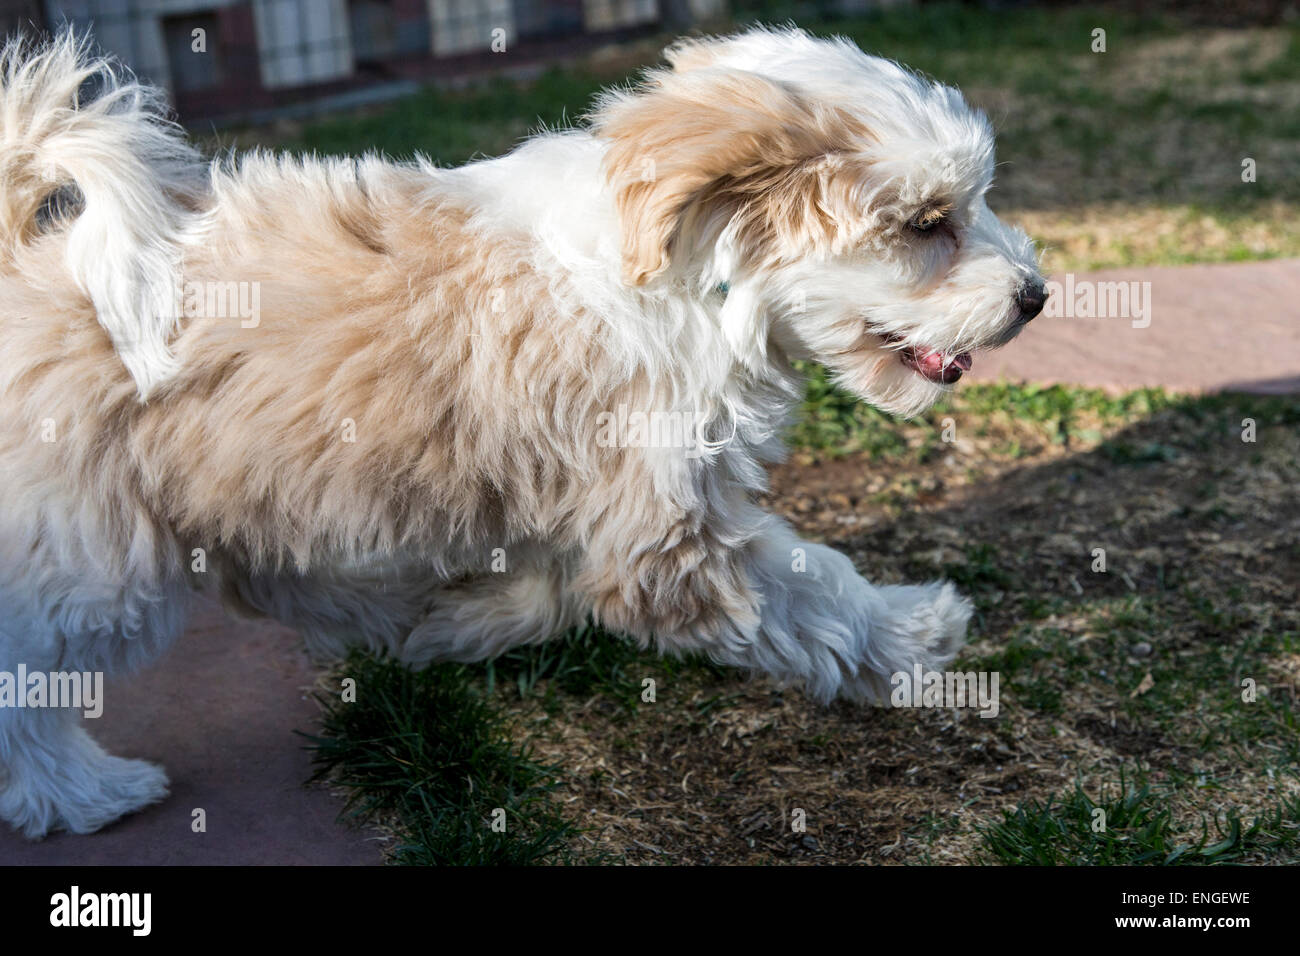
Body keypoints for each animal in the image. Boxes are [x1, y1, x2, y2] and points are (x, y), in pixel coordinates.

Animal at [0, 27, 1040, 837]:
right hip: (89, 562)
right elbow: (812, 591)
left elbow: (547, 590)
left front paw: (461, 622)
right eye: (926, 224)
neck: (694, 271)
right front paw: (914, 632)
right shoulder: (671, 531)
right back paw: (86, 793)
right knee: (24, 693)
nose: (1035, 296)